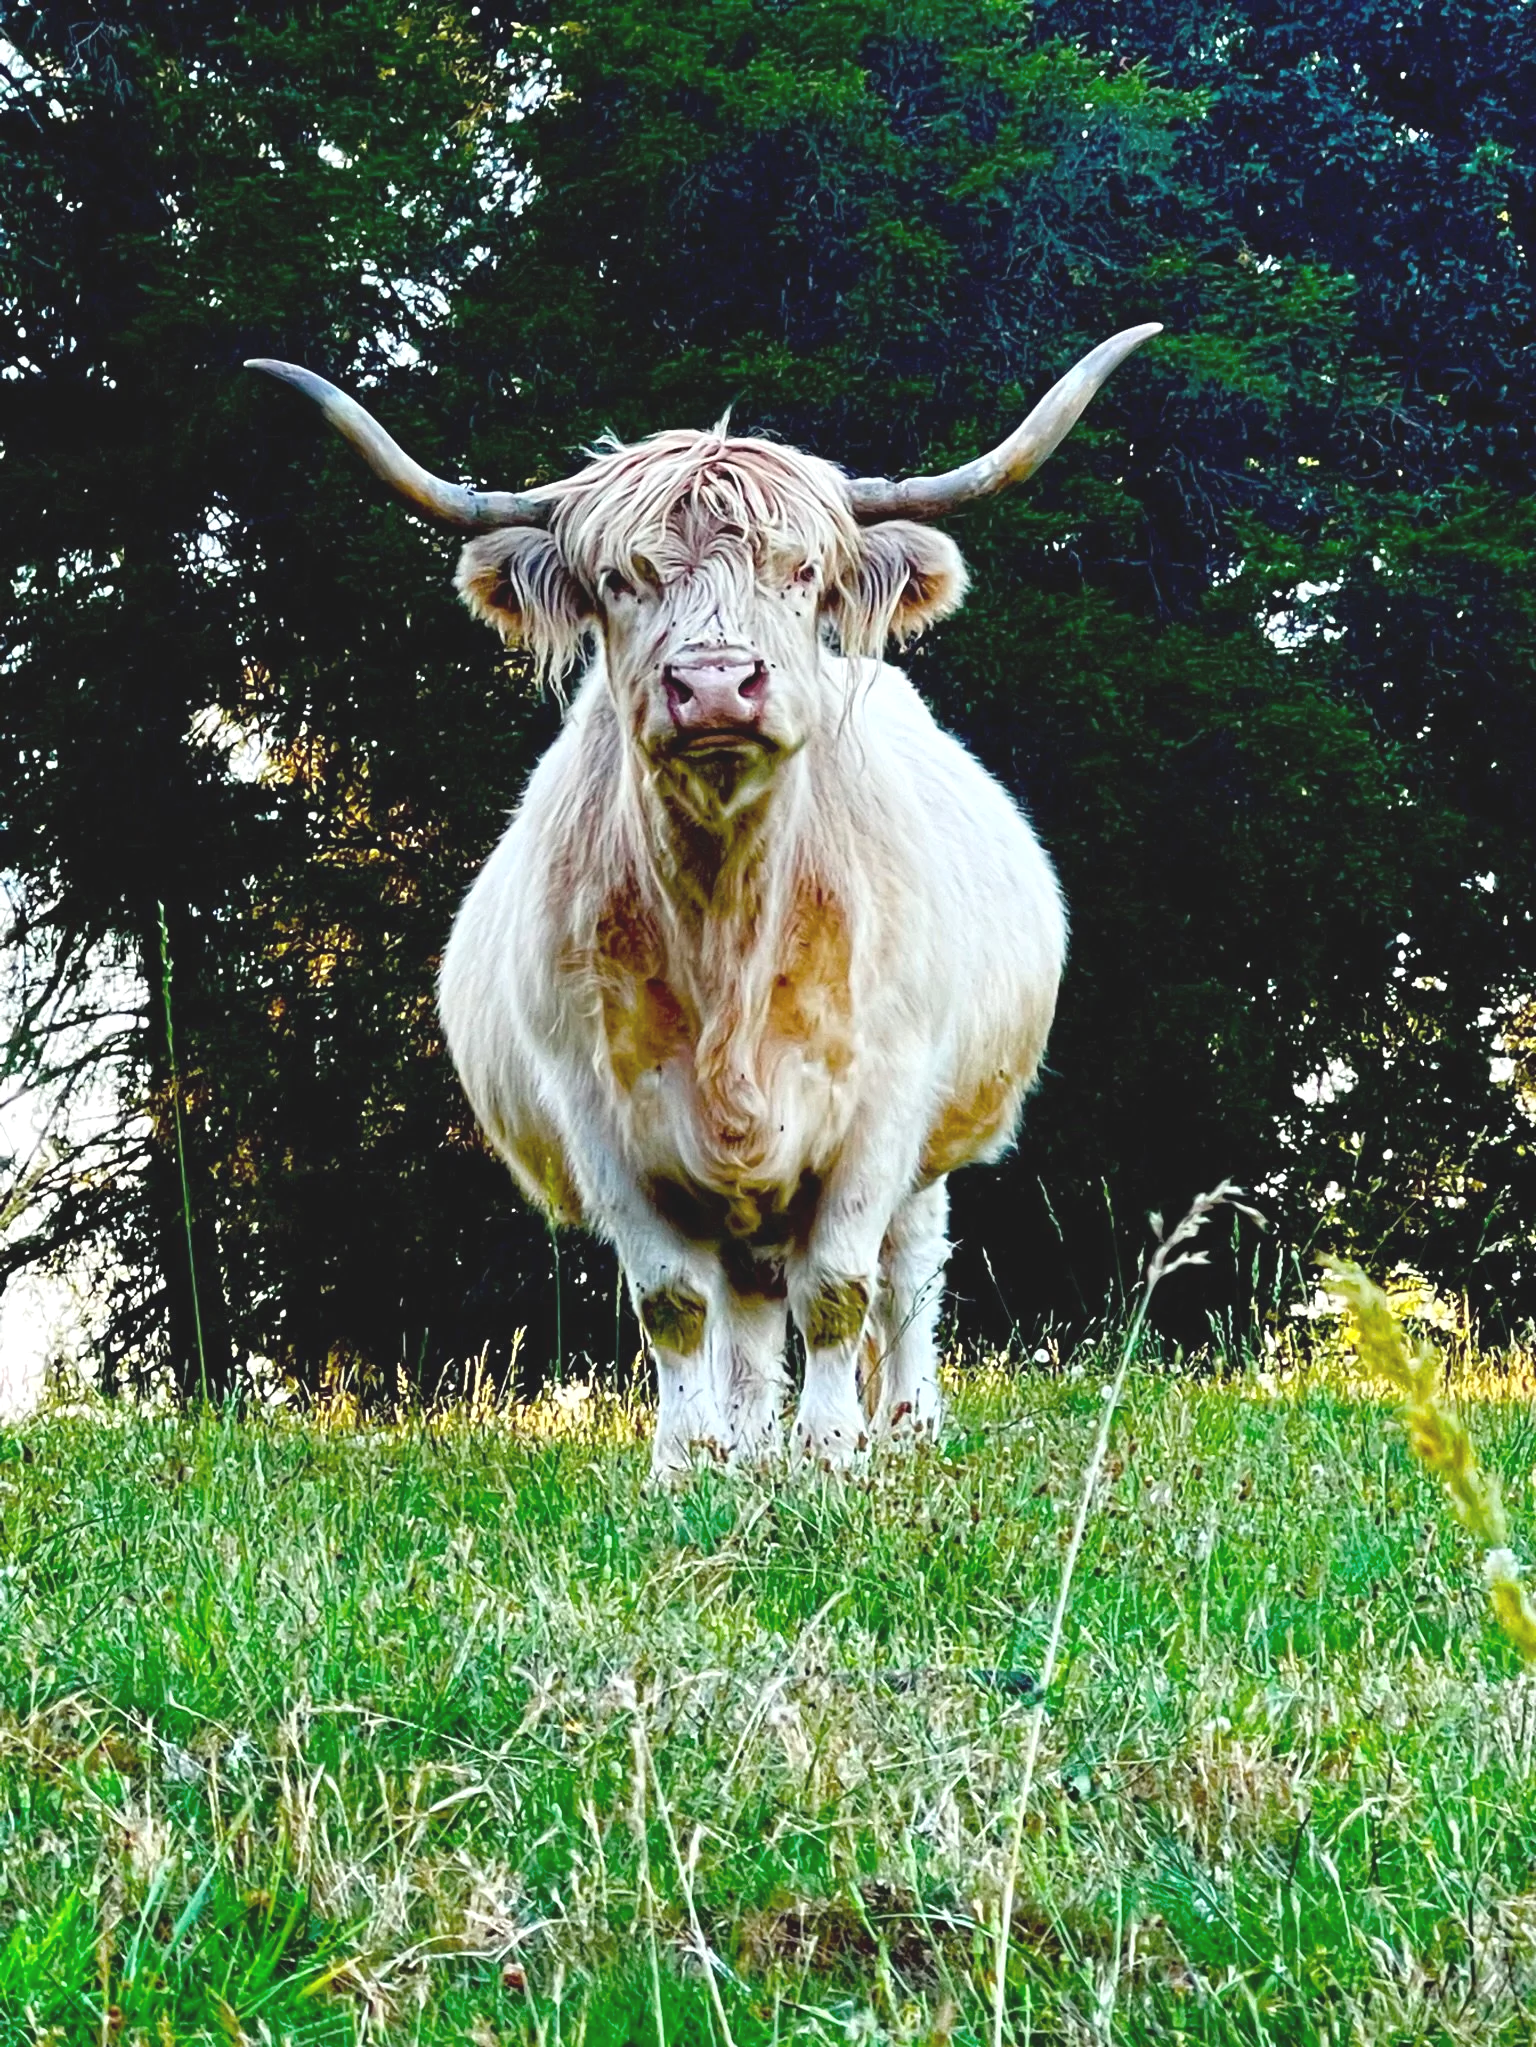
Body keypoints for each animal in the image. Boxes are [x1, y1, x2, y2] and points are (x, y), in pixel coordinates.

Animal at [249, 326, 1159, 1475]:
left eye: (802, 569)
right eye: (616, 578)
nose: (719, 684)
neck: (728, 937)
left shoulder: (880, 1108)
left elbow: (840, 1289)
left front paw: (832, 1457)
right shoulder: (607, 1126)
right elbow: (676, 1304)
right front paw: (690, 1463)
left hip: (929, 1149)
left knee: (906, 1274)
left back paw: (904, 1425)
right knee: (746, 1308)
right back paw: (748, 1443)